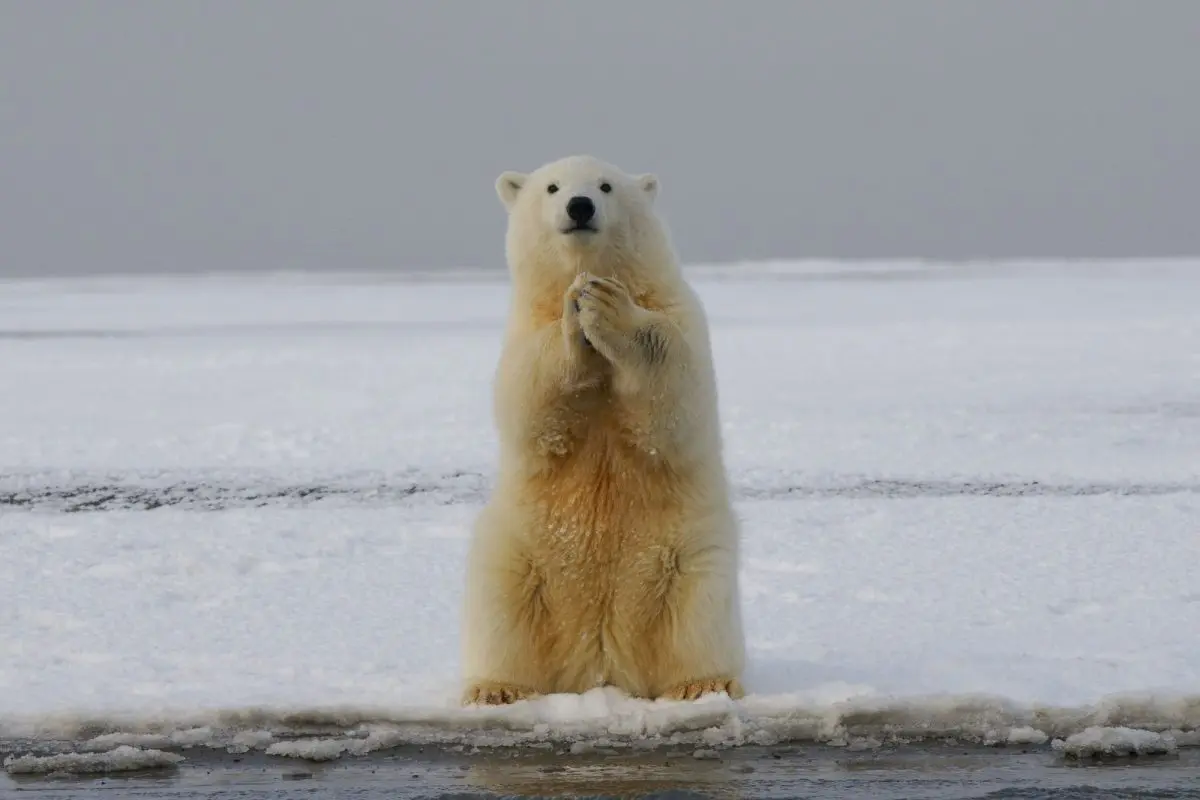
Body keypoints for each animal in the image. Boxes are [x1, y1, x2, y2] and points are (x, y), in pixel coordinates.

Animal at [458, 153, 739, 705]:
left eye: (606, 185)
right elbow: (529, 398)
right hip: (519, 555)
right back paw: (496, 689)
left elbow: (677, 390)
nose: (580, 205)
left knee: (699, 615)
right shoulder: (522, 330)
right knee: (501, 611)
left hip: (688, 556)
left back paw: (701, 684)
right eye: (552, 187)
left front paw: (608, 307)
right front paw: (576, 314)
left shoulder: (679, 311)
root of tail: (601, 663)